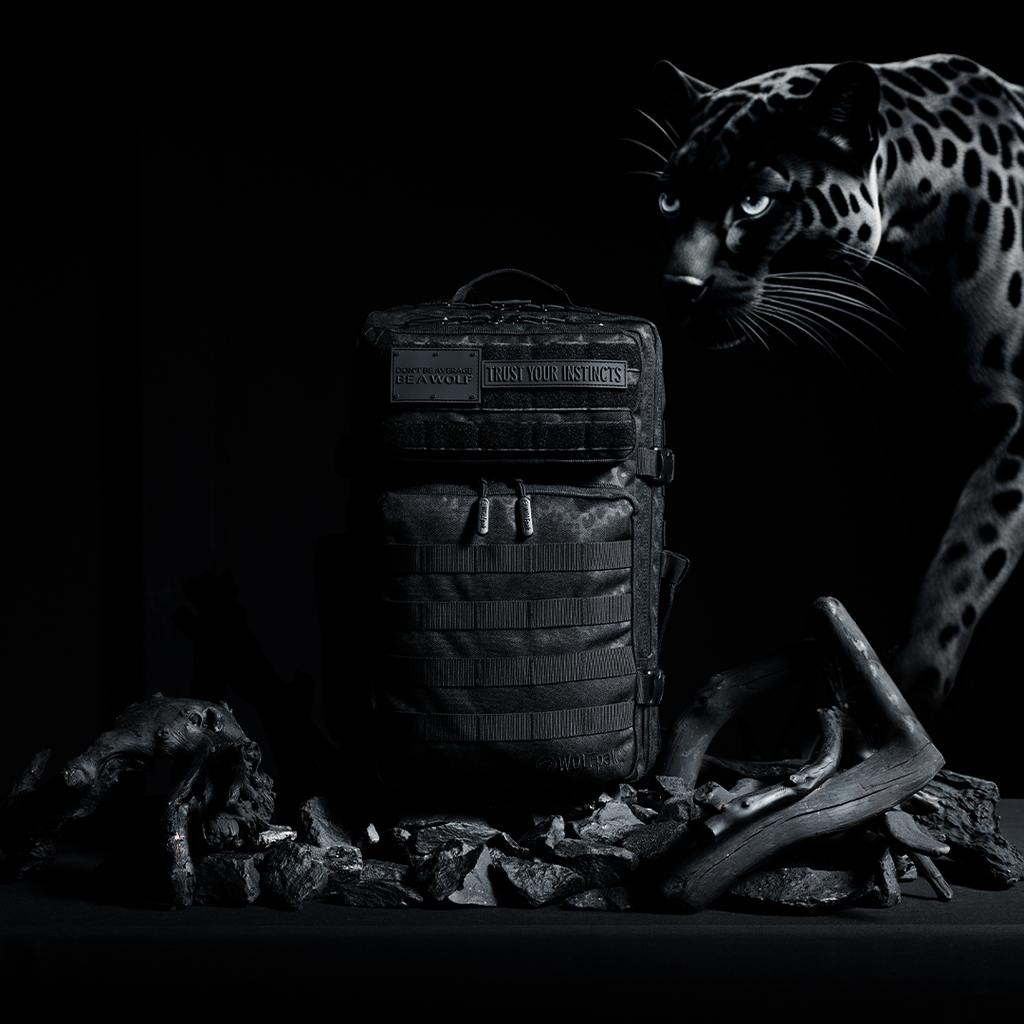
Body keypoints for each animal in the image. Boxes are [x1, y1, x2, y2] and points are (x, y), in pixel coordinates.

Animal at [640, 54, 1023, 720]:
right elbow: (939, 545)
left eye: (755, 203)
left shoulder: (1008, 424)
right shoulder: (914, 433)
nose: (679, 287)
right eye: (669, 199)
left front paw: (910, 686)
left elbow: (967, 553)